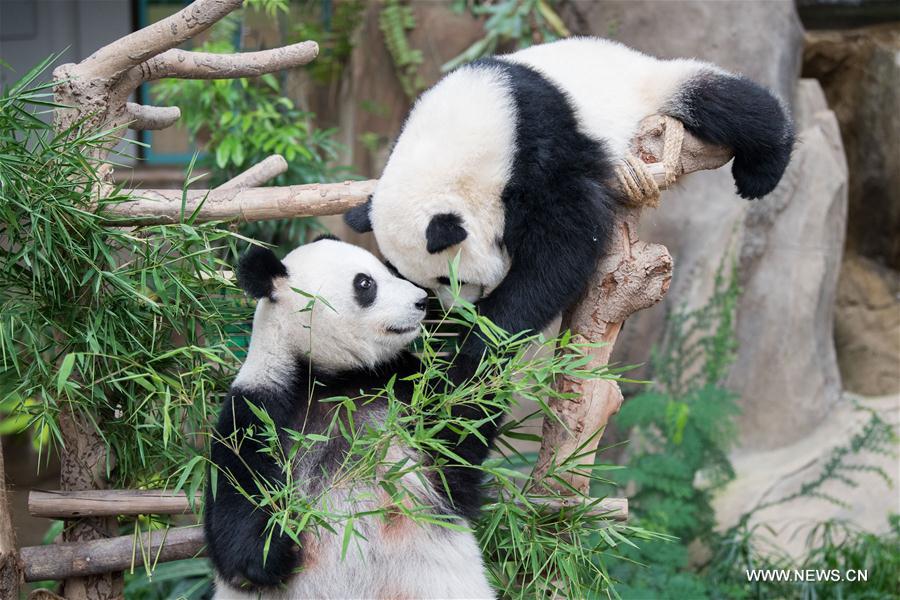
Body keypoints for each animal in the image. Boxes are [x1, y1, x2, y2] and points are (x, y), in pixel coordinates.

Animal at [204, 237, 496, 599]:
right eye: (365, 283)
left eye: (390, 269)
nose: (421, 300)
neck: (332, 379)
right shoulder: (258, 409)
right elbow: (234, 513)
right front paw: (280, 544)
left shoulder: (404, 391)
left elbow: (460, 432)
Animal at [345, 37, 795, 362]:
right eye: (426, 283)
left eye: (447, 278)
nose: (458, 309)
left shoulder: (538, 146)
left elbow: (565, 244)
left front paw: (483, 334)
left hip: (648, 87)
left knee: (729, 103)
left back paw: (762, 170)